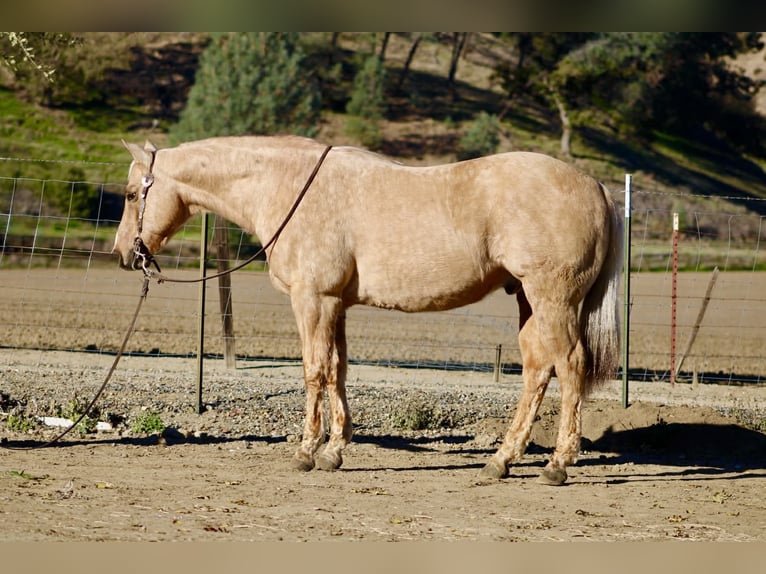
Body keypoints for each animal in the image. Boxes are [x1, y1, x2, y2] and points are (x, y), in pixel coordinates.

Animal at [113, 135, 622, 485]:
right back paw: (501, 460)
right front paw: (333, 451)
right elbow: (337, 370)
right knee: (538, 370)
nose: (123, 254)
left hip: (553, 300)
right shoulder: (335, 304)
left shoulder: (312, 300)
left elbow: (314, 371)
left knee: (570, 365)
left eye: (132, 194)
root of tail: (597, 186)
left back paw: (557, 464)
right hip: (529, 302)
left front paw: (305, 452)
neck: (289, 186)